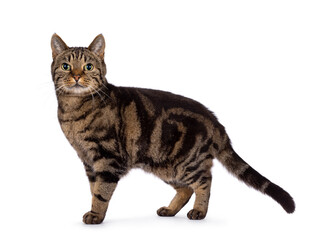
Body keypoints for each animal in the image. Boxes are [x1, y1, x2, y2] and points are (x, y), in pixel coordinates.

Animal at [50, 33, 296, 223]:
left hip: (189, 162)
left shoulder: (107, 158)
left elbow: (102, 192)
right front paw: (94, 209)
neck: (73, 110)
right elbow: (95, 189)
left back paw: (199, 211)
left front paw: (96, 215)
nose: (77, 76)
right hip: (167, 166)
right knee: (186, 189)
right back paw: (170, 210)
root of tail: (215, 121)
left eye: (88, 66)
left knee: (205, 181)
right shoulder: (88, 161)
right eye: (66, 66)